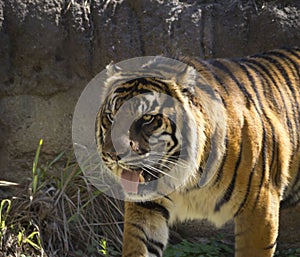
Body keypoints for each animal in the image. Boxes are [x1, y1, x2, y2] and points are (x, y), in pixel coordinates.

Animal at [96, 46, 300, 256]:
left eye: (147, 118)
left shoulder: (259, 206)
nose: (112, 155)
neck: (188, 180)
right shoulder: (146, 208)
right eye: (111, 116)